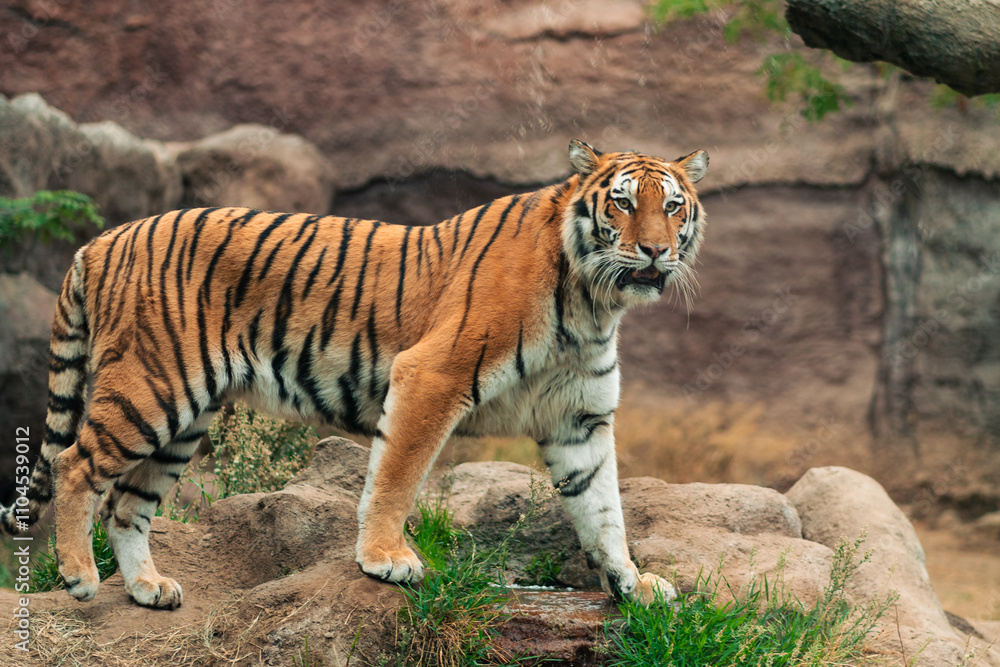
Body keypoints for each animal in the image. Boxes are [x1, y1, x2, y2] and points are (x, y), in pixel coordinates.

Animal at [1, 140, 708, 610]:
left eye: (673, 207)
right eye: (622, 204)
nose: (654, 250)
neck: (596, 302)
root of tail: (100, 240)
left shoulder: (579, 420)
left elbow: (604, 510)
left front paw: (632, 584)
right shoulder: (431, 376)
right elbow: (395, 476)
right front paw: (385, 561)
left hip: (184, 417)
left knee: (126, 504)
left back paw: (149, 588)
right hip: (151, 390)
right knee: (75, 467)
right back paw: (79, 578)